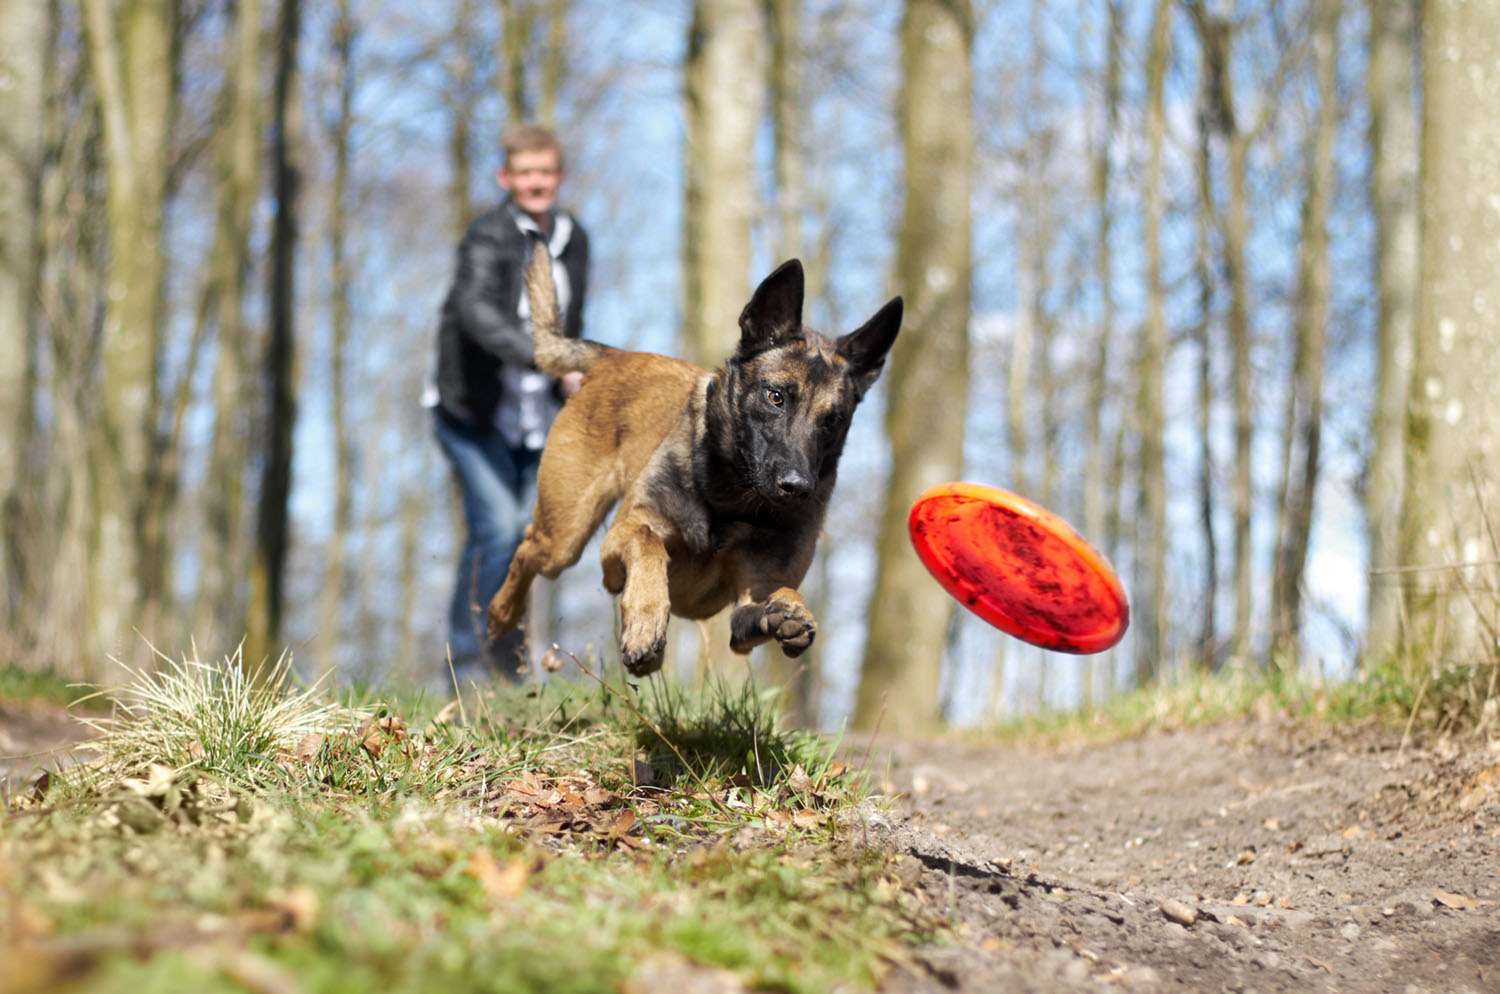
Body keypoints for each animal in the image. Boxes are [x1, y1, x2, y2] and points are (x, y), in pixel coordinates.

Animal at [486, 241, 894, 677]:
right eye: (776, 397)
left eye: (832, 420)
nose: (797, 487)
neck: (731, 501)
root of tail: (614, 357)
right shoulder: (620, 541)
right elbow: (648, 542)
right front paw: (645, 621)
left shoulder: (747, 606)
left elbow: (767, 602)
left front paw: (788, 611)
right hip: (564, 536)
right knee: (528, 549)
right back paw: (501, 613)